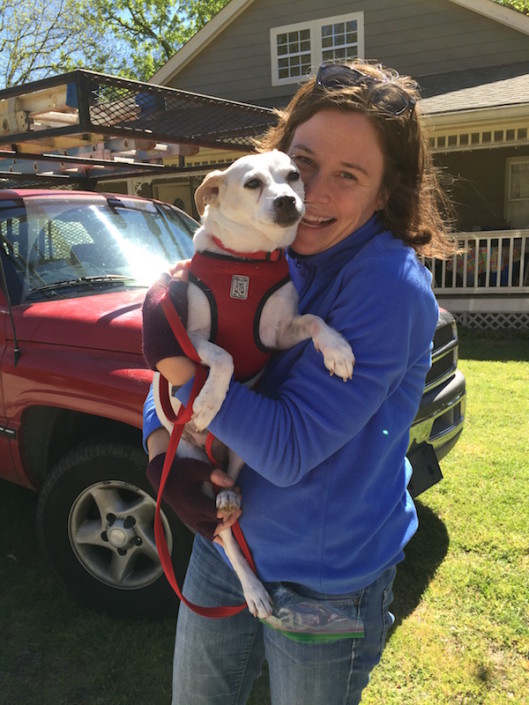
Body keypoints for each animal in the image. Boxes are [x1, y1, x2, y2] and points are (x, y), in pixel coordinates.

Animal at [153, 148, 354, 616]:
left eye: (294, 175)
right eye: (253, 184)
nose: (287, 201)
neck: (245, 263)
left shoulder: (277, 334)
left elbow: (315, 319)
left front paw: (336, 349)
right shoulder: (190, 339)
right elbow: (224, 357)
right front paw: (209, 400)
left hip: (243, 454)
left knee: (228, 479)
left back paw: (229, 497)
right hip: (188, 458)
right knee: (224, 534)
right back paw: (254, 590)